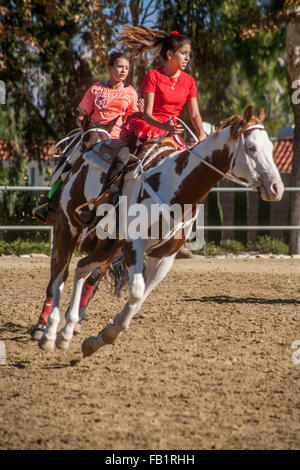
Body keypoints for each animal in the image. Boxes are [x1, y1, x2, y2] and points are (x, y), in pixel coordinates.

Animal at [36, 107, 282, 356]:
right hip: (68, 227)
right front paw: (104, 334)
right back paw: (48, 332)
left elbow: (140, 298)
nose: (276, 188)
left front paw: (99, 339)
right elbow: (136, 291)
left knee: (82, 268)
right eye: (251, 147)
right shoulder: (134, 244)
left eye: (271, 148)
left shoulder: (164, 256)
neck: (176, 183)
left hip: (109, 243)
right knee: (60, 274)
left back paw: (67, 330)